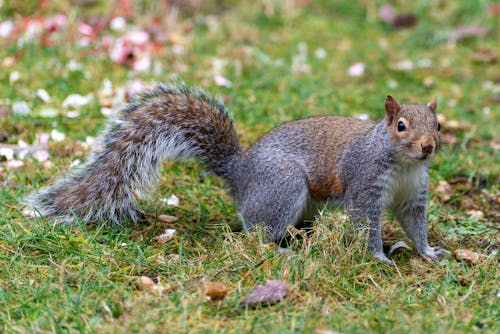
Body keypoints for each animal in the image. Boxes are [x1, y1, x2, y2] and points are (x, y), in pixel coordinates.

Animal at [25, 82, 452, 264]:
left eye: (438, 124)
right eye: (400, 126)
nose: (428, 146)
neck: (404, 166)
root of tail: (239, 173)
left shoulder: (413, 197)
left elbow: (415, 225)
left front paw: (428, 252)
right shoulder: (365, 186)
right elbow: (366, 225)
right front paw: (379, 257)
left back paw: (303, 242)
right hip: (282, 184)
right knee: (258, 234)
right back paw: (282, 251)